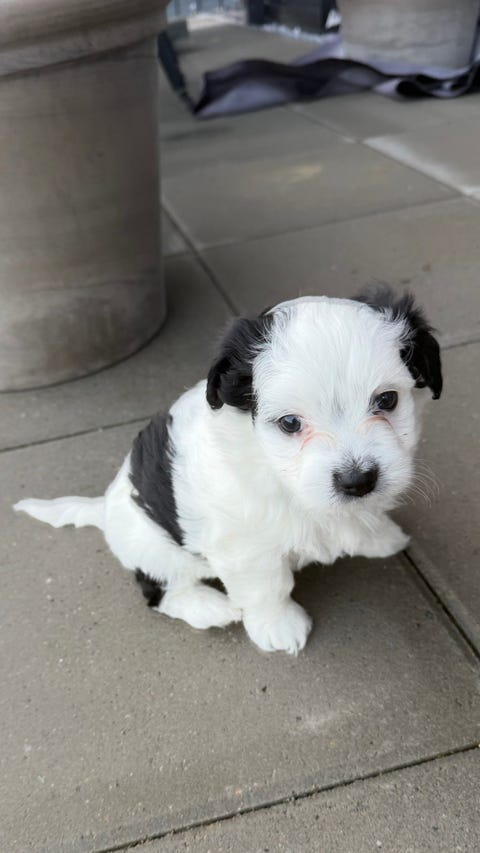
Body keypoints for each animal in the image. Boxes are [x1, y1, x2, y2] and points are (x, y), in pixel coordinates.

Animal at [14, 287, 442, 654]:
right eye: (290, 423)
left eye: (387, 400)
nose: (358, 480)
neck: (280, 476)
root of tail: (105, 507)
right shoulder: (245, 545)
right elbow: (266, 585)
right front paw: (277, 625)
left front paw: (378, 536)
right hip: (151, 545)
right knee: (160, 588)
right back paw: (209, 607)